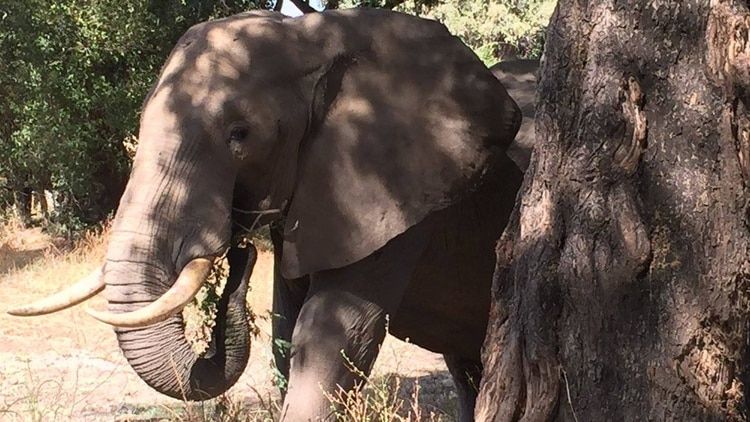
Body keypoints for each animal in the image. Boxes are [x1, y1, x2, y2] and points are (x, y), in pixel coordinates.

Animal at [10, 9, 525, 422]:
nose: (240, 256)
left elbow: (332, 339)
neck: (316, 36)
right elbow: (286, 324)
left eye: (240, 134)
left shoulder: (394, 193)